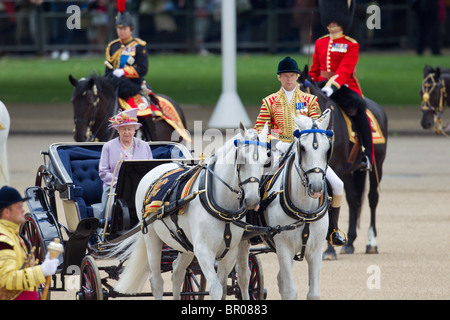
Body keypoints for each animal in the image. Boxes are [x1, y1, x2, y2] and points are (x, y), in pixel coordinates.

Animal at [110, 123, 268, 300]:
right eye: (242, 160)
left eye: (265, 162)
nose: (253, 200)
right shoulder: (203, 251)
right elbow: (216, 289)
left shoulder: (230, 252)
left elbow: (224, 287)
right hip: (152, 238)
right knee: (156, 281)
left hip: (185, 243)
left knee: (177, 272)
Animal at [237, 110, 332, 300]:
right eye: (303, 148)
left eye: (327, 149)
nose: (316, 188)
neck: (304, 210)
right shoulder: (284, 248)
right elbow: (290, 291)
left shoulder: (316, 250)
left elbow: (313, 293)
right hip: (241, 240)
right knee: (242, 277)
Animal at [298, 65, 388, 260]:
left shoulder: (333, 169)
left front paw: (329, 249)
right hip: (348, 171)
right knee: (353, 200)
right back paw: (350, 242)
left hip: (377, 165)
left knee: (372, 199)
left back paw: (371, 243)